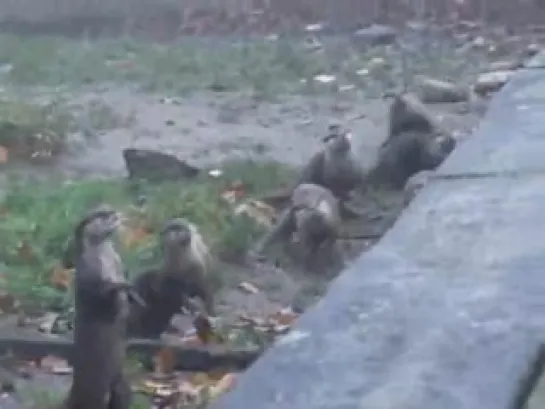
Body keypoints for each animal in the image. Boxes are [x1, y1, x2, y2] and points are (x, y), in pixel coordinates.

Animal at [63, 206, 131, 408]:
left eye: (110, 209)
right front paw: (119, 288)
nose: (116, 213)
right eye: (103, 214)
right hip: (96, 390)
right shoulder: (90, 277)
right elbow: (106, 302)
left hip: (121, 381)